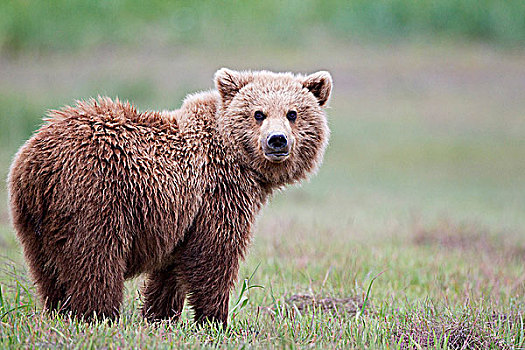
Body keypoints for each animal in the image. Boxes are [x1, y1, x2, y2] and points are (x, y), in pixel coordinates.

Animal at [8, 67, 332, 326]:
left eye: (292, 113)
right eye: (258, 114)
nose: (277, 140)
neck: (238, 161)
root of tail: (38, 161)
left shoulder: (183, 217)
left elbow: (171, 270)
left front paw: (159, 316)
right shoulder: (216, 195)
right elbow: (215, 256)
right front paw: (216, 321)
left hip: (33, 218)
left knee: (48, 270)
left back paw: (59, 312)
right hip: (96, 194)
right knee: (96, 259)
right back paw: (98, 316)